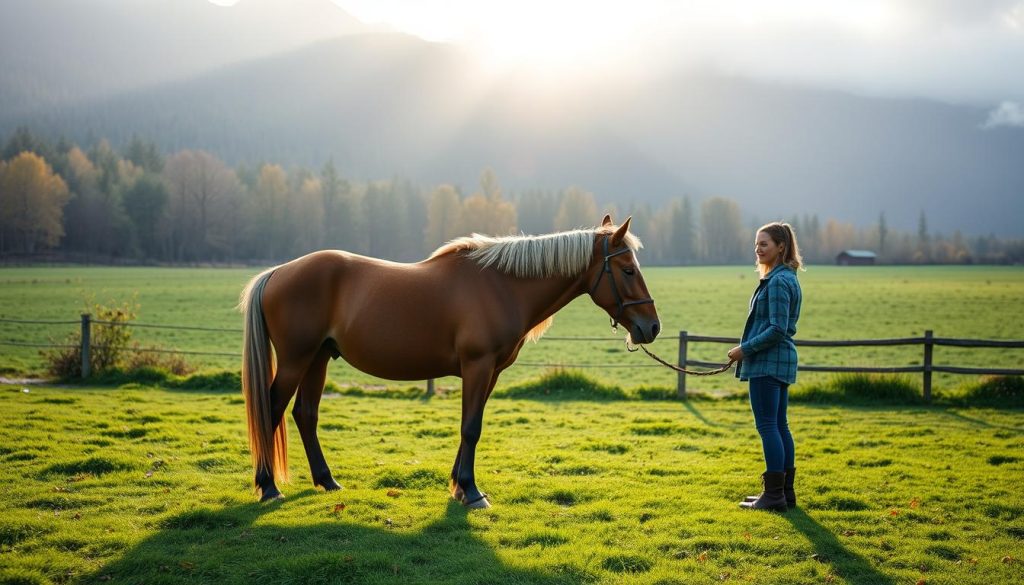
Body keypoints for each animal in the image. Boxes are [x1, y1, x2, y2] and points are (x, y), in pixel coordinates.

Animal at [236, 215, 659, 508]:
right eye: (627, 270)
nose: (651, 327)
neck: (501, 285)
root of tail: (277, 272)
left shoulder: (489, 373)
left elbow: (471, 426)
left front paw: (458, 485)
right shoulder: (477, 366)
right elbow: (470, 428)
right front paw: (471, 492)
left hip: (318, 359)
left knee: (305, 415)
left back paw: (327, 481)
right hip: (296, 360)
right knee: (271, 409)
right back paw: (268, 487)